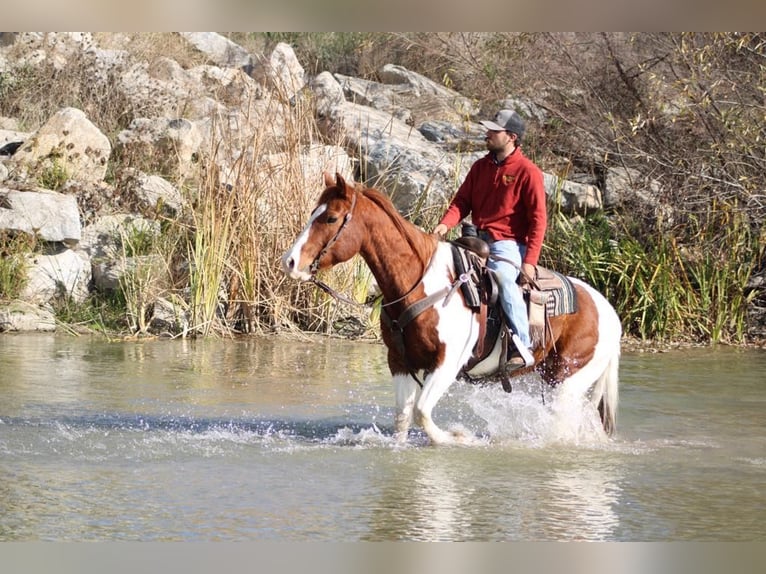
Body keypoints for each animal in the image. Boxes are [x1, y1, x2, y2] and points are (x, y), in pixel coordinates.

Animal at [281, 172, 621, 446]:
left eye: (331, 218)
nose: (290, 262)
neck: (420, 283)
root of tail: (608, 311)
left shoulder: (446, 363)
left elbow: (422, 413)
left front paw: (458, 437)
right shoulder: (400, 362)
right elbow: (403, 418)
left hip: (567, 381)